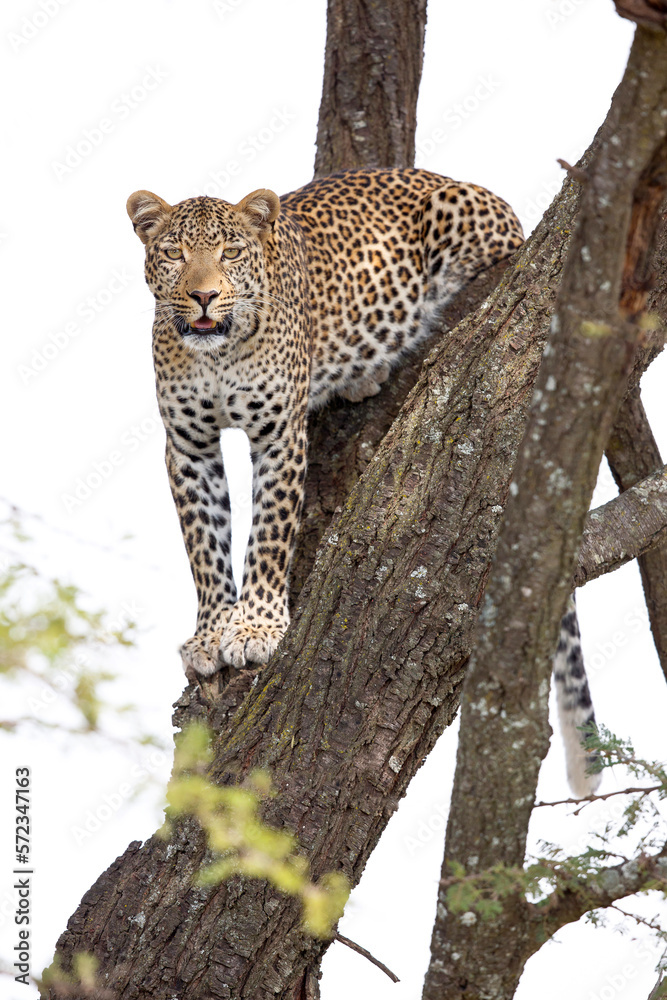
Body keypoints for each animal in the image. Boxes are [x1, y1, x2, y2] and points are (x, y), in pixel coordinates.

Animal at [127, 167, 599, 795]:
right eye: (174, 254)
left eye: (230, 253)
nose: (203, 295)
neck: (217, 354)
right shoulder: (187, 445)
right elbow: (204, 545)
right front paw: (210, 634)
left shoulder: (280, 434)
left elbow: (269, 536)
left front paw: (256, 629)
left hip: (462, 218)